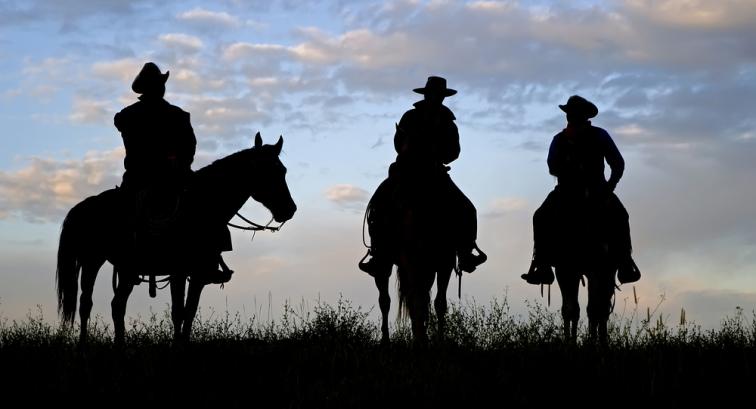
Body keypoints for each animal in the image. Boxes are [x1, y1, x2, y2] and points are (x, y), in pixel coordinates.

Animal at [55, 134, 296, 344]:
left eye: (283, 170)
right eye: (268, 171)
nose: (289, 209)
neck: (202, 206)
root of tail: (84, 206)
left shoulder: (197, 274)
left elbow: (188, 312)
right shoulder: (180, 272)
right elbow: (179, 312)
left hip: (122, 269)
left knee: (113, 305)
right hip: (92, 261)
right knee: (88, 303)